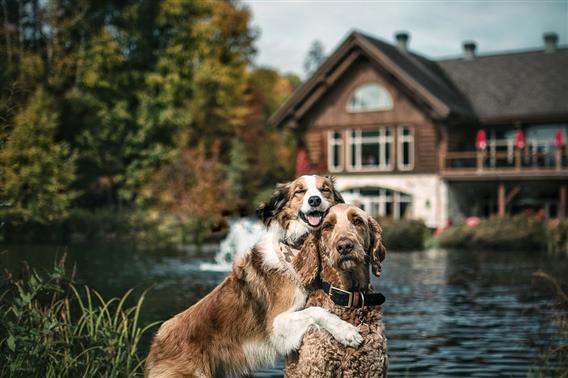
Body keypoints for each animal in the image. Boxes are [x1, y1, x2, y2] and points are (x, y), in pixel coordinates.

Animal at [145, 176, 360, 376]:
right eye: (300, 191)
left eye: (324, 190)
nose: (314, 200)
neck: (296, 252)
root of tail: (156, 344)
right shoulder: (276, 326)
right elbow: (316, 311)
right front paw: (347, 331)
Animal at [284, 205, 386, 376]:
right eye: (327, 226)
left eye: (357, 221)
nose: (344, 246)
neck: (350, 296)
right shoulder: (317, 367)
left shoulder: (373, 368)